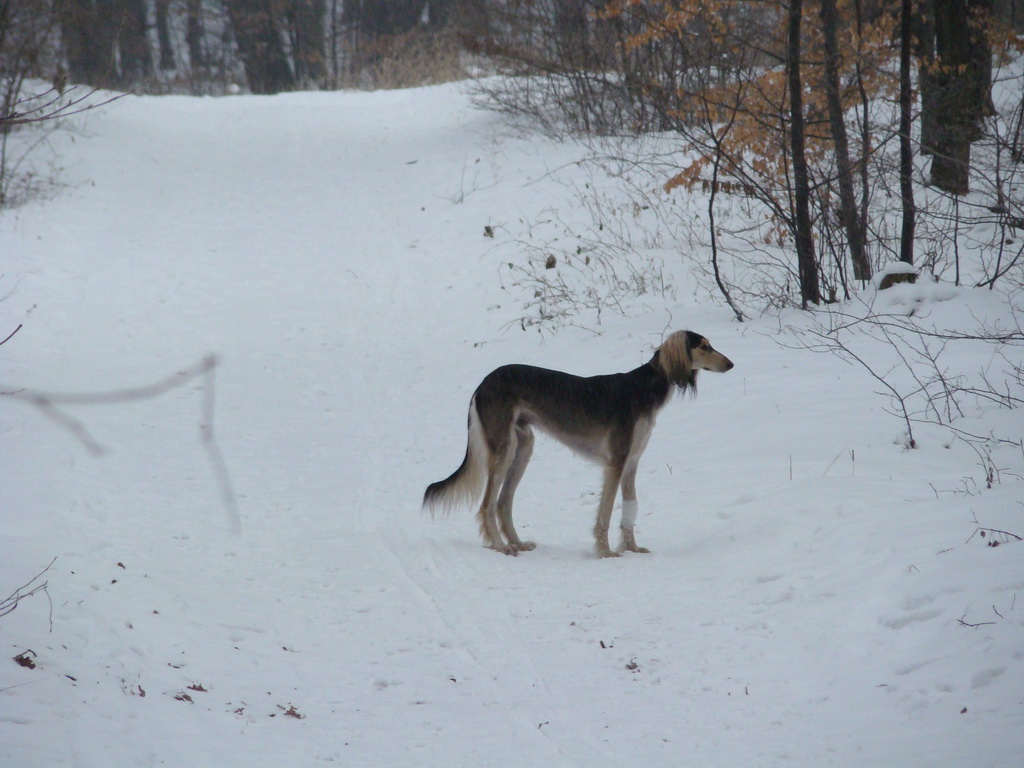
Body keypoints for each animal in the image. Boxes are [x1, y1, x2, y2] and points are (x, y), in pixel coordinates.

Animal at [419, 331, 733, 561]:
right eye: (704, 346)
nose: (730, 364)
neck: (644, 387)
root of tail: (482, 384)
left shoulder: (631, 463)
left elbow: (629, 510)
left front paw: (632, 549)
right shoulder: (616, 462)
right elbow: (605, 513)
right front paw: (606, 553)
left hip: (523, 447)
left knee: (502, 503)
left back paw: (518, 543)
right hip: (504, 448)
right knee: (486, 505)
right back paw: (501, 546)